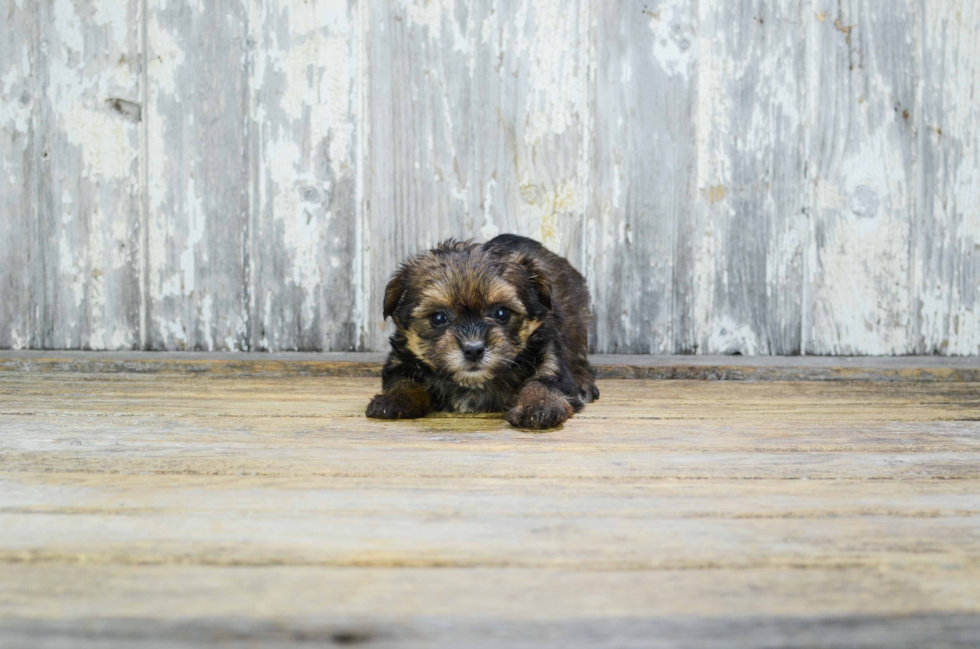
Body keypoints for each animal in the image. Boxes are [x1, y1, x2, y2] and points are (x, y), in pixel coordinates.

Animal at [366, 234, 596, 430]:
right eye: (438, 318)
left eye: (501, 313)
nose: (473, 350)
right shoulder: (400, 360)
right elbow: (403, 380)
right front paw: (394, 399)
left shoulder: (548, 355)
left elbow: (544, 381)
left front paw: (539, 404)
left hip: (578, 324)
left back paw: (584, 383)